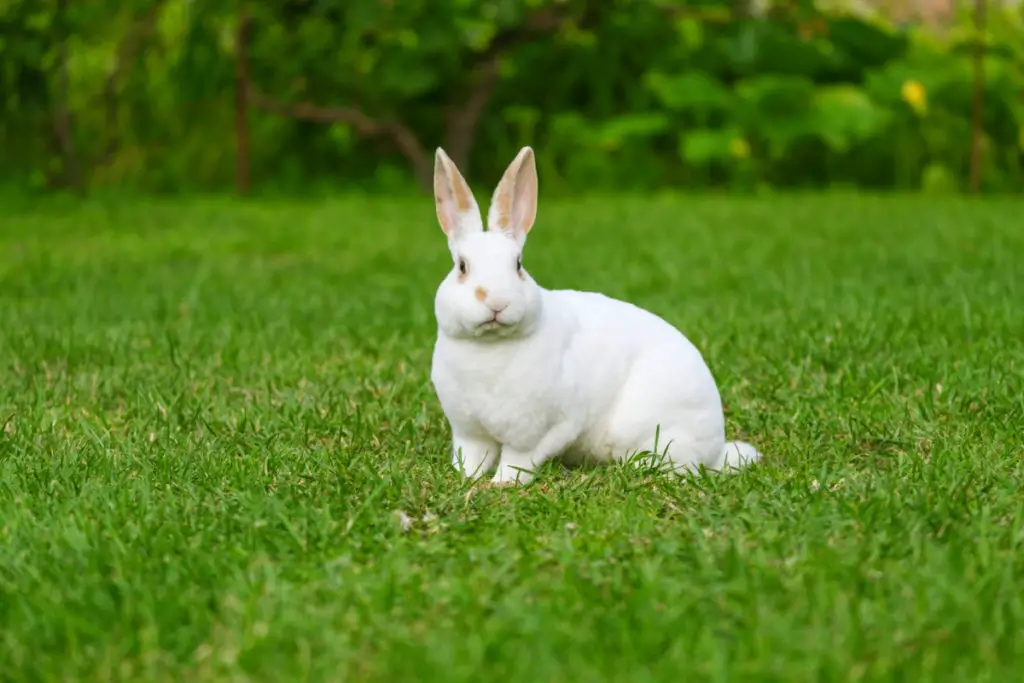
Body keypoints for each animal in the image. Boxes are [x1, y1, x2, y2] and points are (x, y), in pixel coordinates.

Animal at [425, 146, 761, 483]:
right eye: (462, 267)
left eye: (518, 265)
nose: (497, 302)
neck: (489, 347)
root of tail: (716, 448)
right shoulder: (468, 432)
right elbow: (472, 458)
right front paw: (465, 479)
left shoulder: (544, 430)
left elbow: (517, 461)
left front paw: (499, 486)